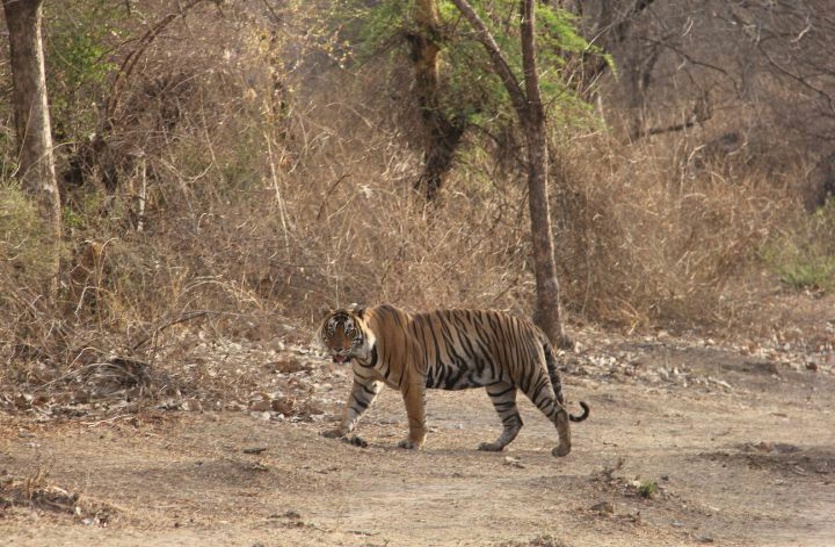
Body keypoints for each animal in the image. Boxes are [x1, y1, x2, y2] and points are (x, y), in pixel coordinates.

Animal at [318, 304, 589, 457]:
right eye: (331, 330)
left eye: (349, 331)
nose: (338, 349)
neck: (364, 355)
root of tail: (530, 325)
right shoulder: (365, 384)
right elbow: (351, 409)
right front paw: (337, 431)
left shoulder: (412, 380)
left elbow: (416, 415)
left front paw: (413, 443)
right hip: (499, 386)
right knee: (514, 421)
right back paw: (493, 446)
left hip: (530, 375)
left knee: (559, 410)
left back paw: (563, 450)